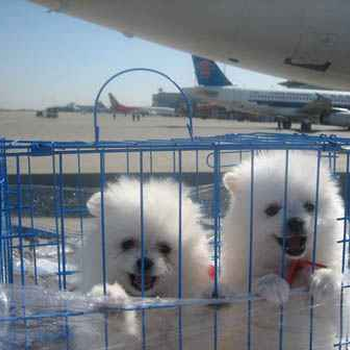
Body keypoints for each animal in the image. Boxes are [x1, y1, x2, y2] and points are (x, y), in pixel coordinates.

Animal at [220, 152, 346, 350]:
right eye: (271, 210)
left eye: (310, 206)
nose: (296, 221)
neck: (290, 264)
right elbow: (246, 286)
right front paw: (271, 284)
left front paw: (325, 279)